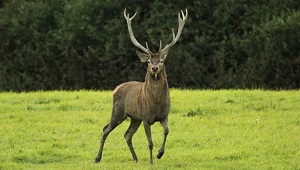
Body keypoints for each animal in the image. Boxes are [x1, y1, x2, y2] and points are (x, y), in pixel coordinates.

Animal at [94, 8, 188, 164]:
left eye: (161, 60)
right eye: (149, 61)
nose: (154, 68)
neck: (156, 102)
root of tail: (115, 89)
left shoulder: (164, 115)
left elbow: (167, 131)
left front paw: (159, 154)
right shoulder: (145, 117)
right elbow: (150, 142)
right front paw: (151, 161)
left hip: (134, 118)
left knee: (127, 134)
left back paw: (136, 158)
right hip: (118, 112)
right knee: (105, 129)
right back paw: (97, 157)